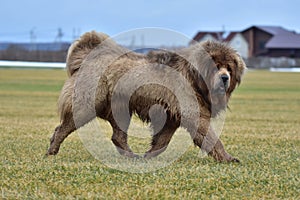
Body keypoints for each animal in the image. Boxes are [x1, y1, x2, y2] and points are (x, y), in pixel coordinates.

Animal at [47, 31, 246, 162]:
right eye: (216, 66)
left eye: (229, 67)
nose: (224, 78)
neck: (196, 78)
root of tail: (87, 58)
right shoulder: (190, 108)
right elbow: (209, 135)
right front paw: (228, 157)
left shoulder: (171, 114)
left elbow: (163, 139)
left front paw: (149, 155)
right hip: (92, 100)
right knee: (69, 123)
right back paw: (52, 149)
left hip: (119, 105)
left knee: (118, 134)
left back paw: (132, 155)